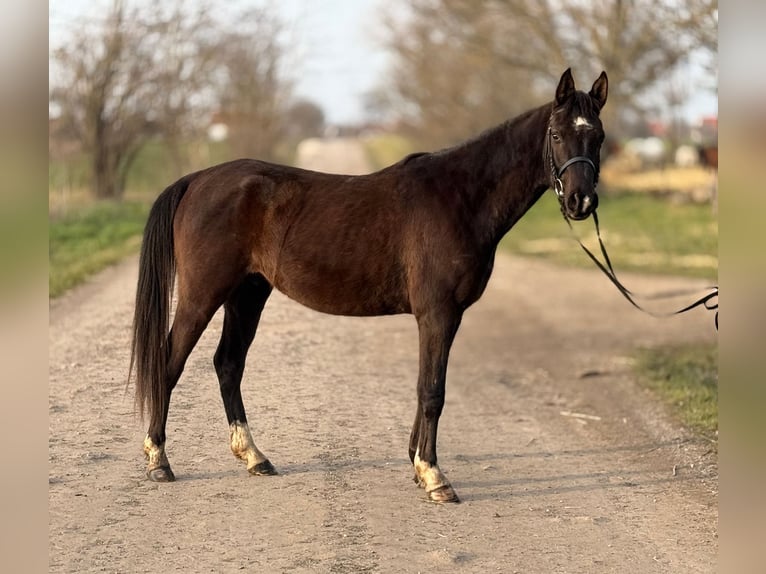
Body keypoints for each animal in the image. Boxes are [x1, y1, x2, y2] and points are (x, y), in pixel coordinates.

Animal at [129, 68, 608, 503]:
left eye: (599, 137)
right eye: (557, 134)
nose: (580, 201)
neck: (460, 197)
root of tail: (198, 179)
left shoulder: (442, 317)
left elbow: (424, 385)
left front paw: (417, 464)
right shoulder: (438, 313)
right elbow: (432, 391)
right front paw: (435, 477)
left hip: (247, 294)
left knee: (228, 364)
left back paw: (255, 457)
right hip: (203, 295)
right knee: (169, 364)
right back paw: (159, 462)